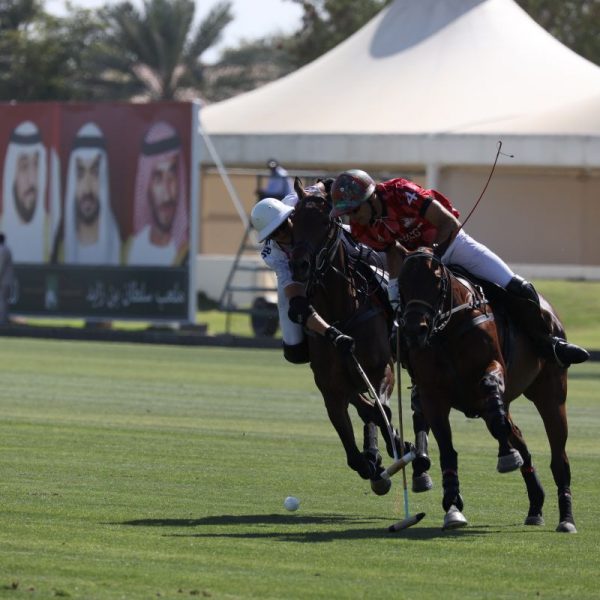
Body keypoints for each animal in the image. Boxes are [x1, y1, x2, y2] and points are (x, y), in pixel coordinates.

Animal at [288, 179, 406, 496]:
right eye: (294, 219)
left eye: (326, 222)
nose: (299, 265)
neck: (343, 310)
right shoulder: (330, 385)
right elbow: (356, 447)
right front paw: (373, 463)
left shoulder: (382, 368)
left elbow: (380, 409)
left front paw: (396, 445)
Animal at [398, 244, 576, 536]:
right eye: (401, 282)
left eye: (435, 281)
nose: (414, 331)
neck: (447, 329)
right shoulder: (432, 394)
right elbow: (447, 449)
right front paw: (452, 505)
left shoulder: (493, 367)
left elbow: (491, 393)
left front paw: (505, 457)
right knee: (516, 435)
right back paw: (535, 505)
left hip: (551, 393)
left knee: (558, 456)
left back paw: (567, 518)